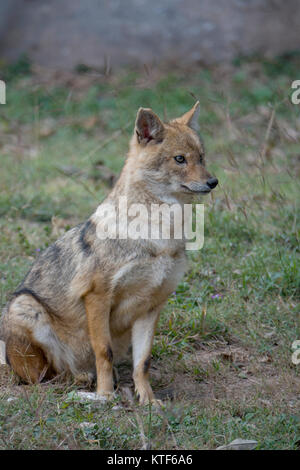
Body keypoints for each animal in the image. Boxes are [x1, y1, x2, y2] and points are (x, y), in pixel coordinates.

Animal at [0, 103, 218, 404]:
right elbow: (104, 352)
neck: (160, 235)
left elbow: (143, 362)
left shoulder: (152, 305)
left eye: (201, 157)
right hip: (26, 307)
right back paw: (83, 384)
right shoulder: (97, 297)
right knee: (49, 376)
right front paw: (105, 396)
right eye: (180, 159)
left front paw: (148, 400)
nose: (213, 182)